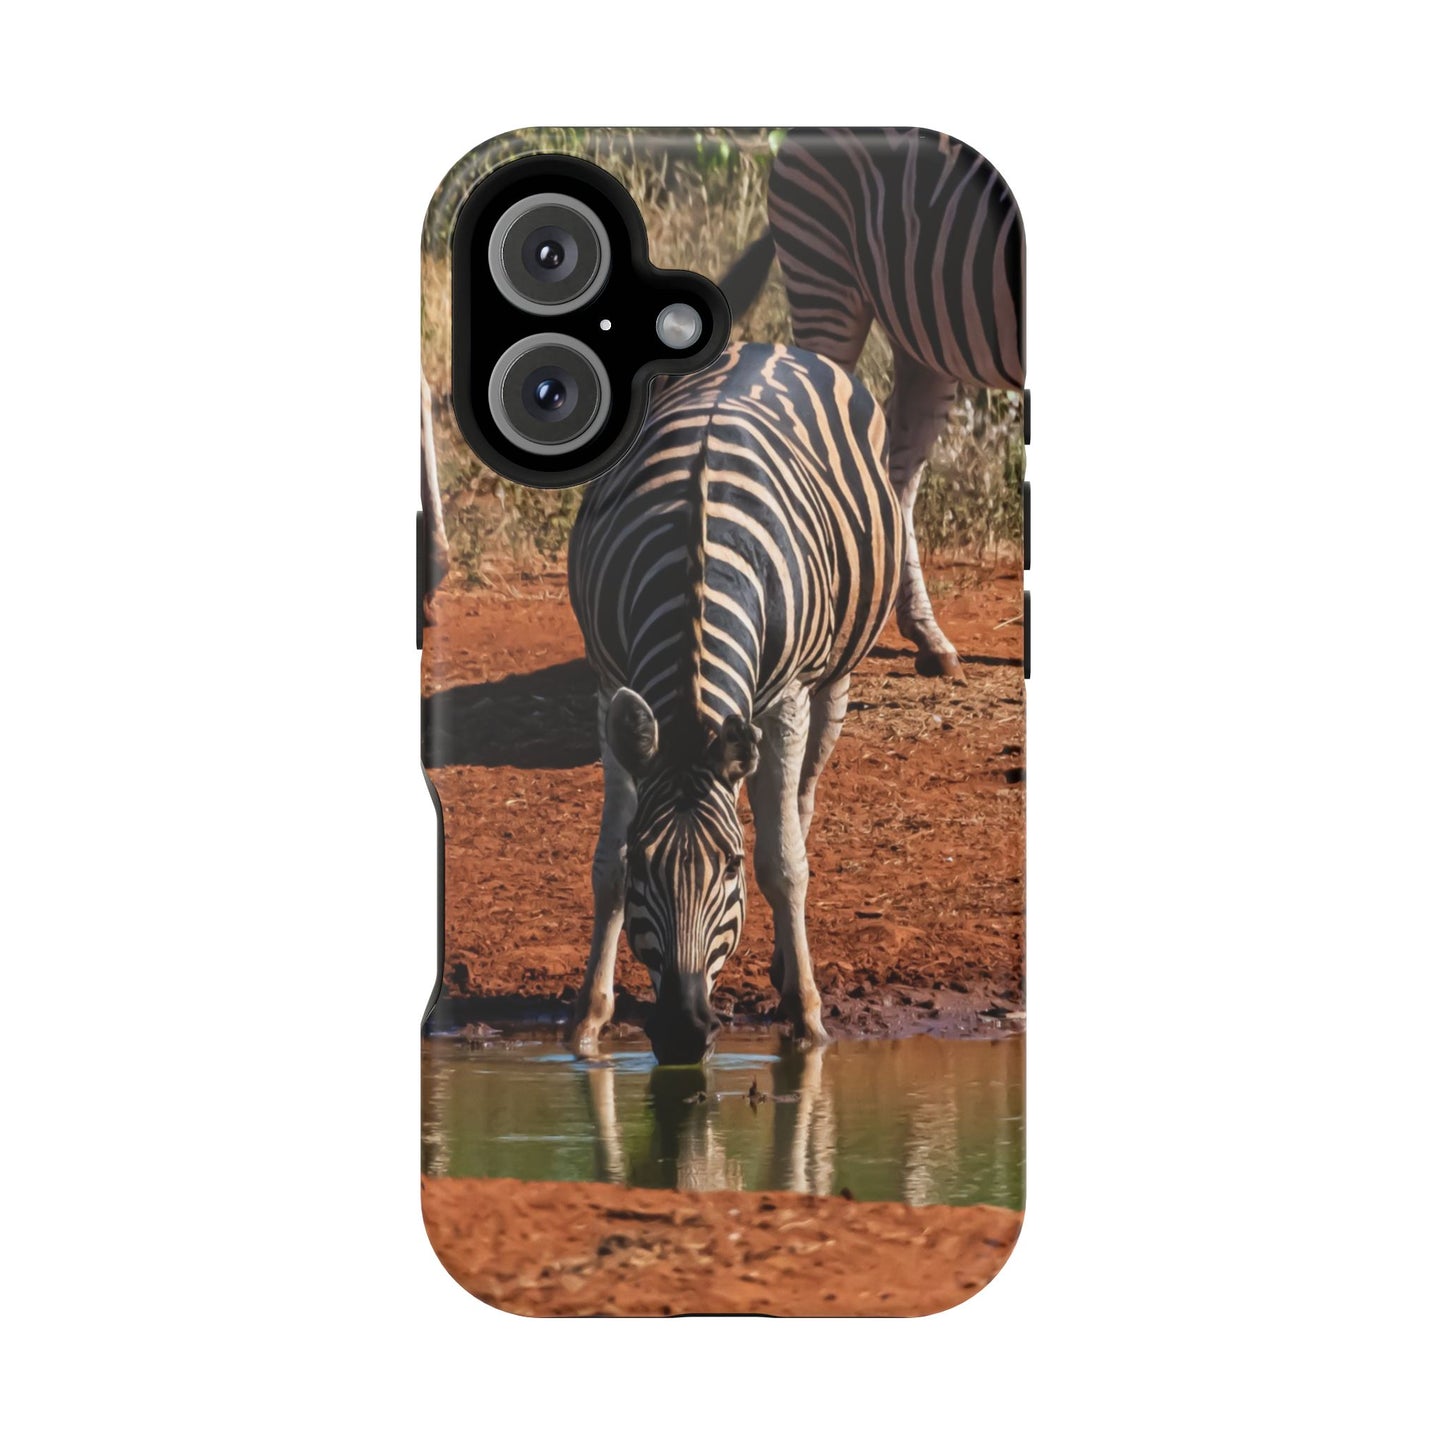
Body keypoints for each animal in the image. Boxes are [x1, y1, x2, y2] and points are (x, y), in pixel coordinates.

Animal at [568, 341, 902, 1064]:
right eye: (646, 862)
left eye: (730, 867)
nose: (682, 1031)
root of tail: (770, 344)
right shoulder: (608, 684)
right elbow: (605, 866)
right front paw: (588, 1020)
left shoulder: (786, 699)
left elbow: (784, 864)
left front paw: (807, 1019)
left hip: (832, 677)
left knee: (800, 802)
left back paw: (786, 967)